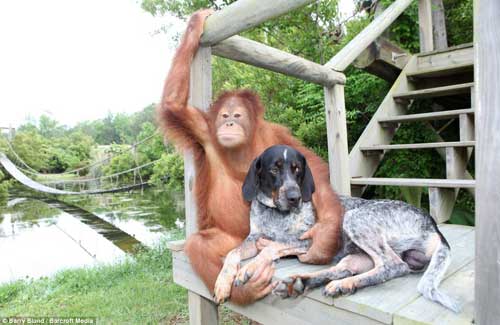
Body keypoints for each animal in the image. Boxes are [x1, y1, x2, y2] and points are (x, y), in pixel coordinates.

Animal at [213, 144, 458, 312]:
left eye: (297, 170)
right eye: (274, 169)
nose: (294, 197)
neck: (275, 213)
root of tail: (432, 225)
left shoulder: (305, 241)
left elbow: (271, 247)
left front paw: (248, 268)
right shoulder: (253, 237)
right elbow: (232, 253)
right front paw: (222, 283)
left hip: (355, 218)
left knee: (393, 266)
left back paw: (338, 283)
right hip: (355, 256)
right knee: (344, 269)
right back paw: (310, 283)